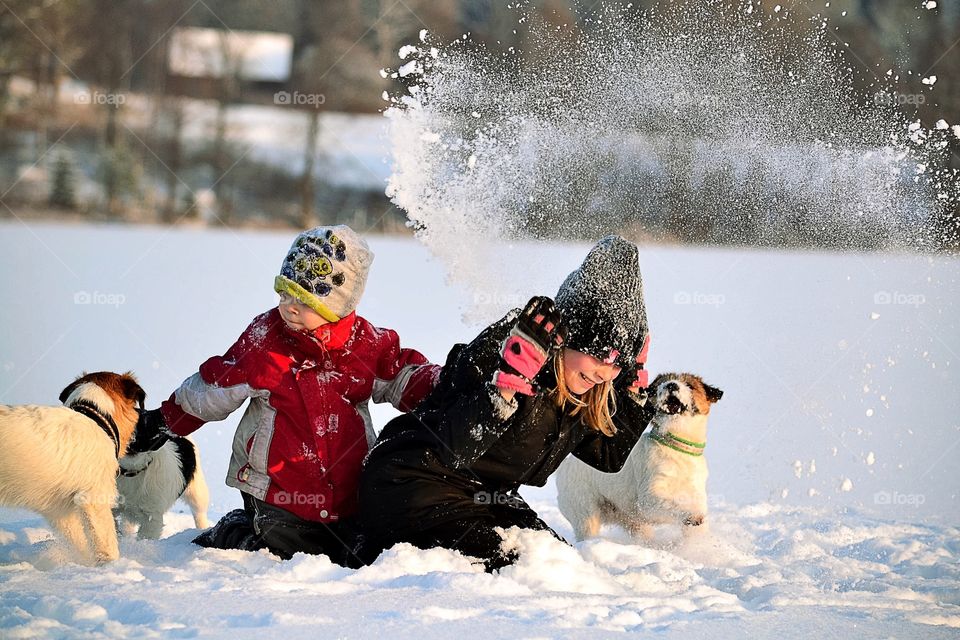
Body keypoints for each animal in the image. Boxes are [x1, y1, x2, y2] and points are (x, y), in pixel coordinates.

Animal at [556, 372, 720, 544]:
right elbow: (672, 504)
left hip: (633, 522)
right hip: (585, 512)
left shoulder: (695, 494)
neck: (677, 449)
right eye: (660, 385)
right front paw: (691, 515)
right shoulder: (648, 500)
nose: (671, 385)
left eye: (690, 385)